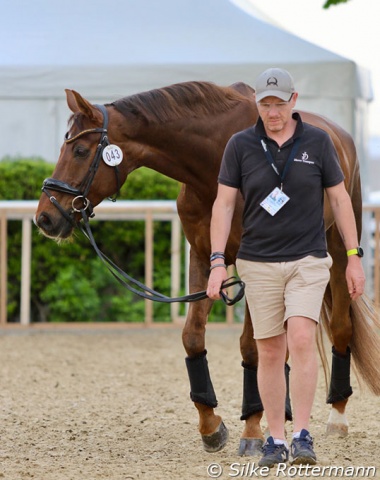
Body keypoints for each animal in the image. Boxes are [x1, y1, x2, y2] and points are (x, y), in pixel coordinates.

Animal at [34, 80, 380, 456]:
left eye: (81, 150)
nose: (45, 217)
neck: (213, 162)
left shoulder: (254, 266)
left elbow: (251, 346)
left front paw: (253, 429)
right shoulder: (202, 257)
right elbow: (193, 338)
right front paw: (211, 424)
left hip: (338, 252)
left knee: (341, 329)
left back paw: (336, 418)